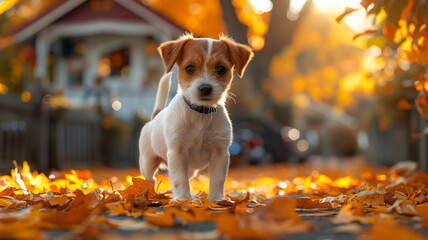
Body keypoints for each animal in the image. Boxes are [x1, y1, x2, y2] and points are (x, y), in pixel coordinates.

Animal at [140, 34, 254, 202]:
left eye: (221, 68)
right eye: (190, 68)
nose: (205, 88)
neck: (201, 114)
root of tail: (155, 117)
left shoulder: (220, 153)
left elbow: (217, 180)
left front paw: (217, 200)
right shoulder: (177, 153)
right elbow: (179, 180)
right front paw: (183, 199)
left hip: (190, 168)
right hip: (148, 161)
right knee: (149, 179)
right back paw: (147, 194)